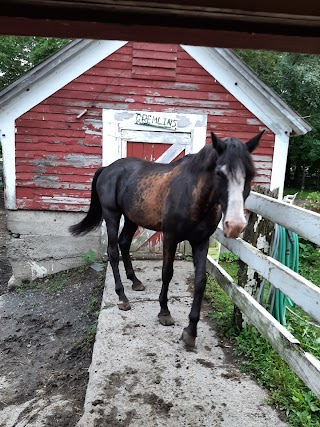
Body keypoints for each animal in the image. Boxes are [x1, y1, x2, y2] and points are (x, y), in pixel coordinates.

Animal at [70, 132, 262, 350]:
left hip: (131, 218)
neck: (192, 195)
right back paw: (122, 297)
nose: (235, 225)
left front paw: (191, 331)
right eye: (219, 173)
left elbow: (200, 281)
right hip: (112, 215)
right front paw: (164, 312)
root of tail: (108, 169)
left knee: (124, 243)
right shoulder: (170, 238)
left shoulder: (201, 241)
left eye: (251, 174)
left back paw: (135, 281)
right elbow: (167, 273)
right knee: (112, 251)